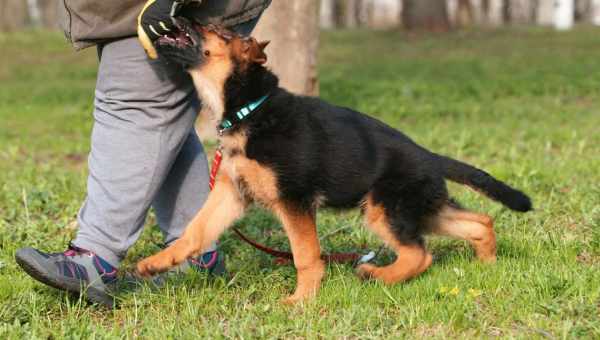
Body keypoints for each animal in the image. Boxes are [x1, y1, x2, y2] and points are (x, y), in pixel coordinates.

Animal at [136, 22, 528, 304]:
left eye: (220, 32)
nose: (182, 13)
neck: (250, 108)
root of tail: (430, 156)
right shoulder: (232, 194)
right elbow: (196, 231)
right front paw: (158, 263)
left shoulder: (293, 200)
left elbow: (305, 255)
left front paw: (301, 301)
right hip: (420, 209)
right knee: (480, 222)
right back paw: (487, 266)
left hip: (385, 209)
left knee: (419, 255)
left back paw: (377, 275)